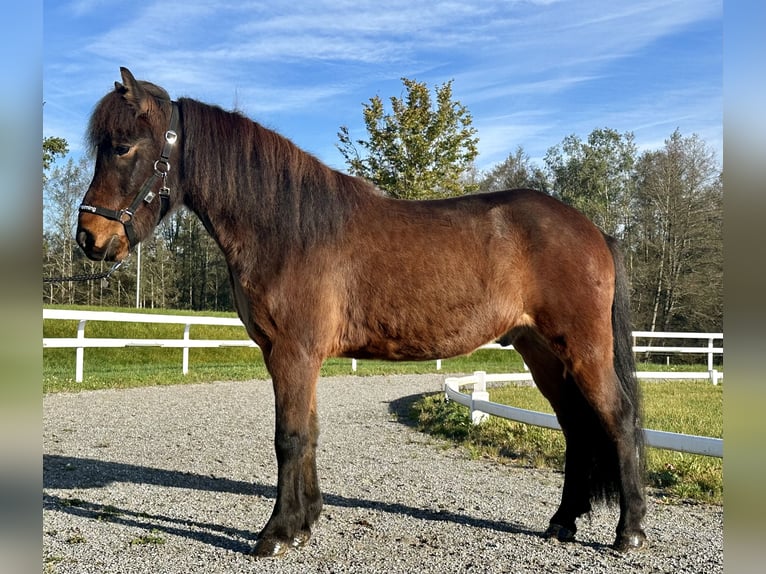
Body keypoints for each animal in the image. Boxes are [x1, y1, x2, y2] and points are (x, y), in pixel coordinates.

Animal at [76, 67, 648, 560]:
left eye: (123, 146)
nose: (89, 238)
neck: (288, 226)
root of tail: (596, 231)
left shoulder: (293, 352)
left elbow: (289, 437)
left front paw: (276, 534)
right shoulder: (296, 355)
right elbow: (308, 432)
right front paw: (304, 523)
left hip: (583, 348)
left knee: (617, 417)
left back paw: (630, 531)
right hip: (541, 351)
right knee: (575, 426)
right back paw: (562, 523)